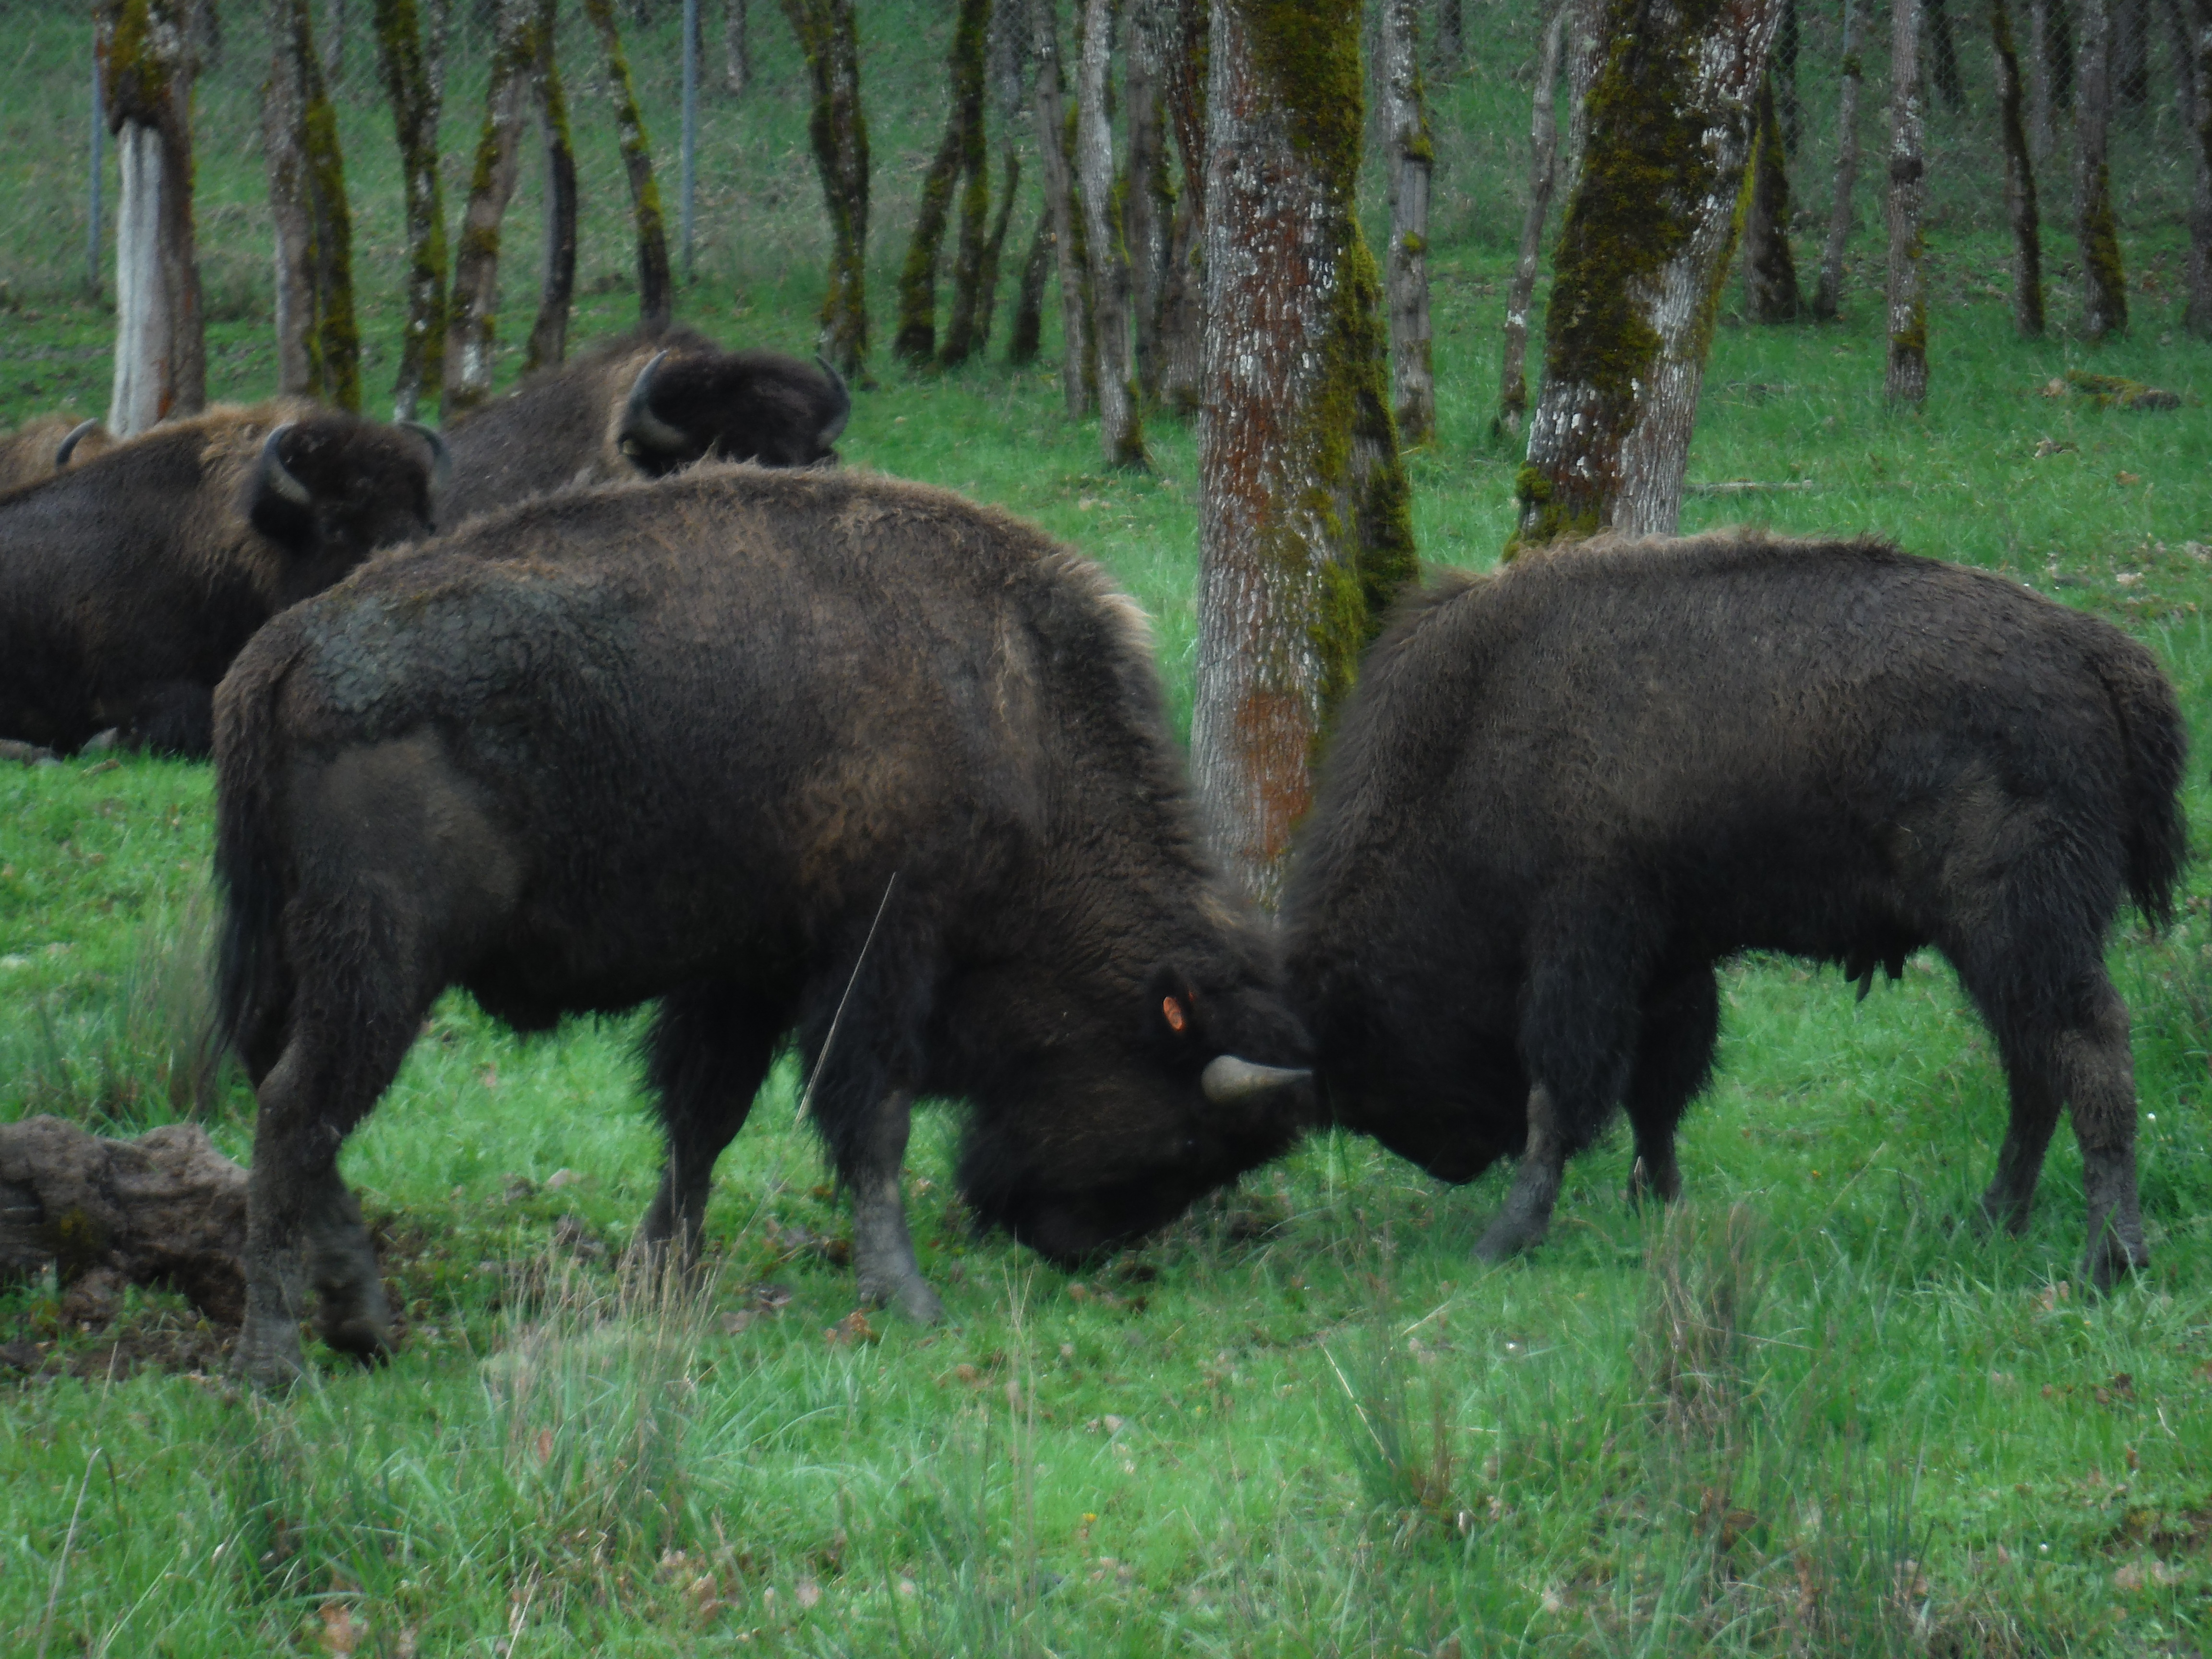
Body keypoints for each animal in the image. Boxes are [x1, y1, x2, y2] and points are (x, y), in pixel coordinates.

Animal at [214, 465, 1313, 1384]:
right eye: (1186, 1139)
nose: (1076, 1248)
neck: (1013, 716)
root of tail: (281, 652)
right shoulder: (879, 944)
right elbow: (867, 1113)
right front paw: (907, 1298)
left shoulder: (749, 967)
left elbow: (705, 1114)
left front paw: (660, 1275)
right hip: (385, 960)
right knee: (297, 1112)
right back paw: (282, 1360)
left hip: (304, 957)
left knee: (289, 1102)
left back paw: (360, 1320)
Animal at [1285, 531, 2184, 1289]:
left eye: (1374, 1038)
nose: (1451, 1159)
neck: (1469, 736)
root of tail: (2097, 655)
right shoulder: (1665, 963)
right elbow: (1656, 1091)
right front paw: (1661, 1208)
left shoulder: (1580, 946)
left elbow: (1562, 1092)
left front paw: (1506, 1236)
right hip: (2000, 950)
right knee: (2032, 1069)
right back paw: (1990, 1222)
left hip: (2019, 930)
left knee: (2088, 1048)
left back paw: (2108, 1261)